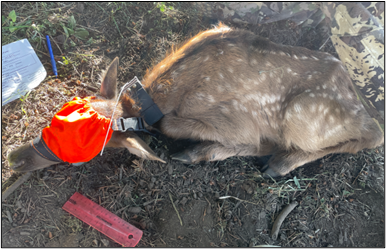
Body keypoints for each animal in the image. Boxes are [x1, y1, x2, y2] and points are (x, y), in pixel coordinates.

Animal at [8, 22, 382, 176]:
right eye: (57, 115)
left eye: (79, 151)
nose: (13, 158)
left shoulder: (238, 123)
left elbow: (175, 128)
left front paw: (197, 151)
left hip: (303, 114)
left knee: (370, 135)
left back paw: (279, 162)